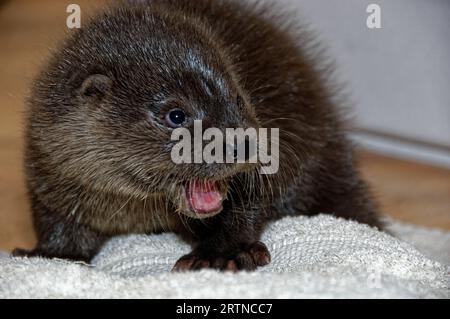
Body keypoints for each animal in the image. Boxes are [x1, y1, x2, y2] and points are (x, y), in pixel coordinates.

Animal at [12, 0, 382, 272]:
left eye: (238, 98)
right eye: (177, 116)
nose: (243, 143)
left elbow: (246, 206)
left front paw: (222, 254)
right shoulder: (49, 164)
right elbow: (55, 219)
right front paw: (50, 254)